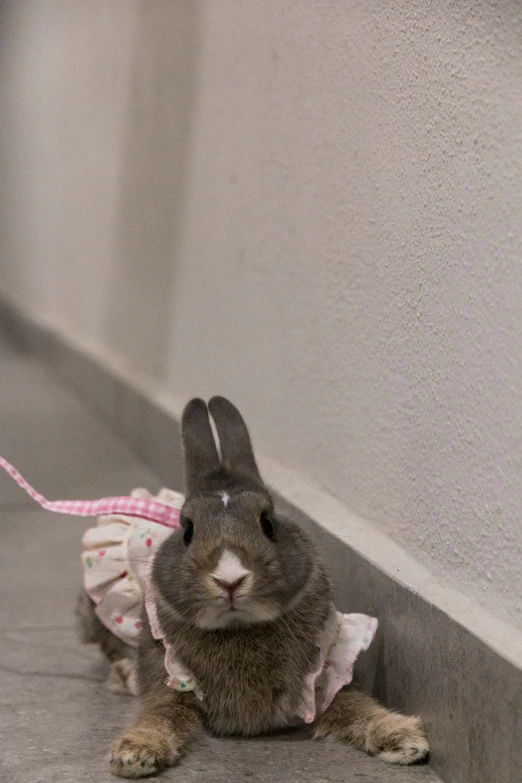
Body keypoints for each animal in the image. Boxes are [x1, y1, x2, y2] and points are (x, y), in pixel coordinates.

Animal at [106, 398, 426, 776]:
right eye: (188, 530)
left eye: (268, 523)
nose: (230, 580)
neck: (240, 627)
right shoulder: (169, 679)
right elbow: (159, 713)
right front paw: (134, 753)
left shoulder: (325, 678)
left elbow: (357, 705)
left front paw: (404, 738)